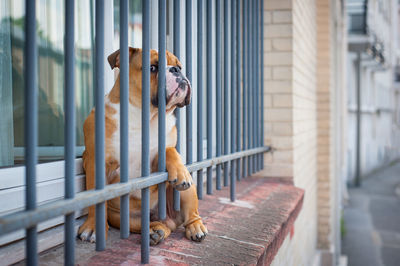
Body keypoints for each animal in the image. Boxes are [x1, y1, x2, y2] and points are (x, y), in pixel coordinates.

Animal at [79, 47, 209, 245]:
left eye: (179, 66)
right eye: (152, 67)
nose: (176, 71)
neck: (144, 116)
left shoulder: (155, 162)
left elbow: (169, 150)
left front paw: (180, 171)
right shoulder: (96, 163)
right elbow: (95, 200)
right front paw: (92, 227)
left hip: (187, 193)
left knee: (190, 215)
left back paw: (195, 227)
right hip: (120, 217)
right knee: (153, 226)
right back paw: (155, 231)